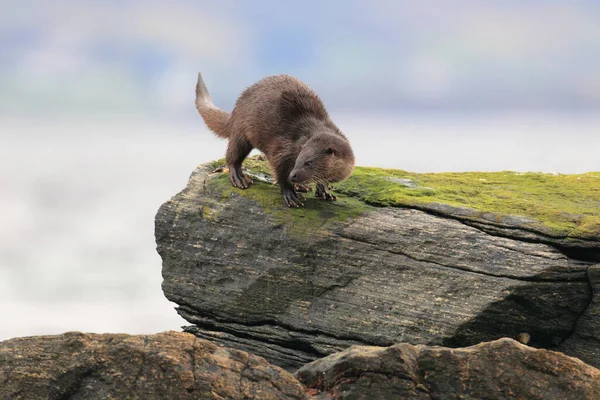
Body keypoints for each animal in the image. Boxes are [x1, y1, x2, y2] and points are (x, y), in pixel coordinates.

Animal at [195, 73, 354, 208]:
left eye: (308, 163)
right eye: (297, 161)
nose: (293, 175)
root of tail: (235, 110)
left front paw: (325, 192)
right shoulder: (283, 149)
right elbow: (280, 171)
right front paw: (291, 195)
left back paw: (301, 186)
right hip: (241, 131)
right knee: (233, 154)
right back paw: (239, 178)